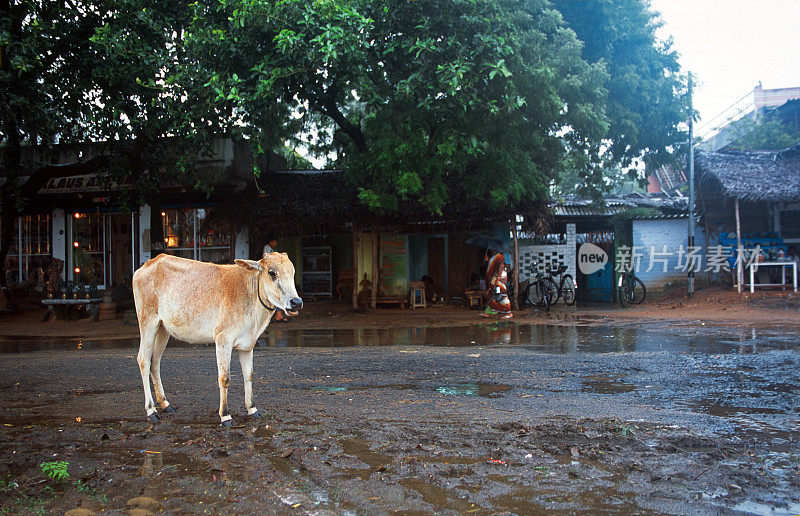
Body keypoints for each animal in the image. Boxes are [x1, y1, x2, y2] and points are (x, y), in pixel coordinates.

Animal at [133, 252, 302, 426]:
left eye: (292, 272)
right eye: (272, 273)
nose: (296, 302)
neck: (252, 294)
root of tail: (148, 264)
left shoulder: (248, 345)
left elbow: (248, 375)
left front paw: (252, 409)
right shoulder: (223, 339)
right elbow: (224, 377)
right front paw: (225, 415)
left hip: (163, 329)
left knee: (155, 362)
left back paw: (165, 404)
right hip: (148, 322)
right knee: (144, 360)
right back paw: (151, 410)